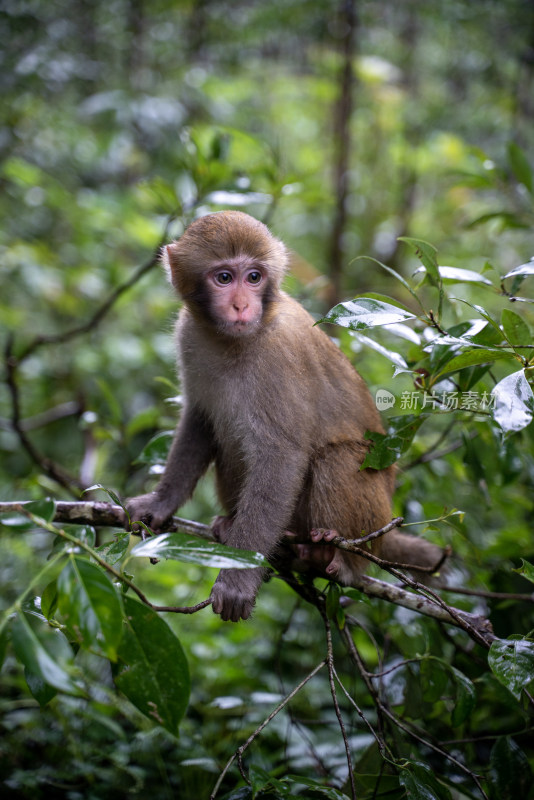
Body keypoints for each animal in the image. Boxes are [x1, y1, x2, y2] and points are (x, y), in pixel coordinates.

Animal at [125, 209, 444, 620]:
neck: (232, 341)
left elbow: (281, 458)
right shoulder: (189, 335)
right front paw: (160, 502)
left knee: (336, 458)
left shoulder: (280, 356)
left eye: (254, 277)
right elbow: (199, 420)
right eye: (224, 277)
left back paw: (337, 558)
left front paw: (237, 580)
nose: (242, 306)